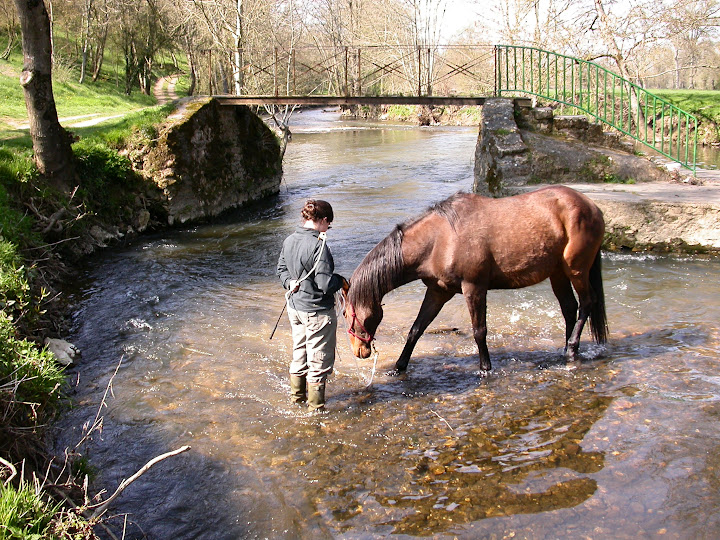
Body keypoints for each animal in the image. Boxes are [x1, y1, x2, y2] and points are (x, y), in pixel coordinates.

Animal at [344, 186, 608, 372]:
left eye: (347, 313)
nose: (358, 351)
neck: (439, 239)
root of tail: (592, 206)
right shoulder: (438, 292)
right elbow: (416, 329)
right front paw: (399, 367)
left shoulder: (474, 288)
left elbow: (479, 330)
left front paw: (485, 368)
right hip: (558, 273)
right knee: (569, 308)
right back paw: (566, 348)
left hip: (576, 269)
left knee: (587, 302)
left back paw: (572, 349)